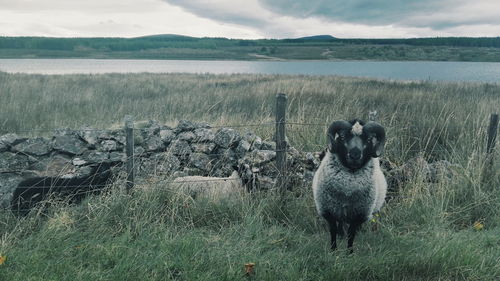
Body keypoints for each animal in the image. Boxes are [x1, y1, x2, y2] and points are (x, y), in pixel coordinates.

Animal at [312, 118, 386, 252]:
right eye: (342, 137)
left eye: (368, 139)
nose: (355, 154)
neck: (347, 191)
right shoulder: (328, 211)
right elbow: (333, 230)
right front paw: (333, 250)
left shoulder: (359, 214)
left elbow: (352, 234)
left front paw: (349, 252)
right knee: (340, 224)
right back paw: (341, 235)